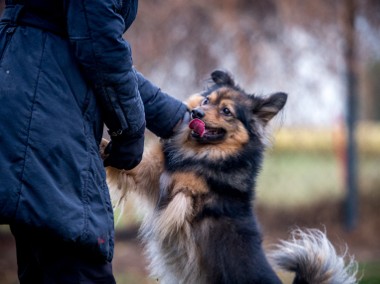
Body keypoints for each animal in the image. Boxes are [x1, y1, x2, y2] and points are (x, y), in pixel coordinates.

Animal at [103, 70, 356, 282]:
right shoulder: (151, 174)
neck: (204, 152)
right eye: (206, 101)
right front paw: (105, 147)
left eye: (226, 111)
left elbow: (183, 184)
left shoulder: (185, 193)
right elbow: (138, 164)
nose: (195, 113)